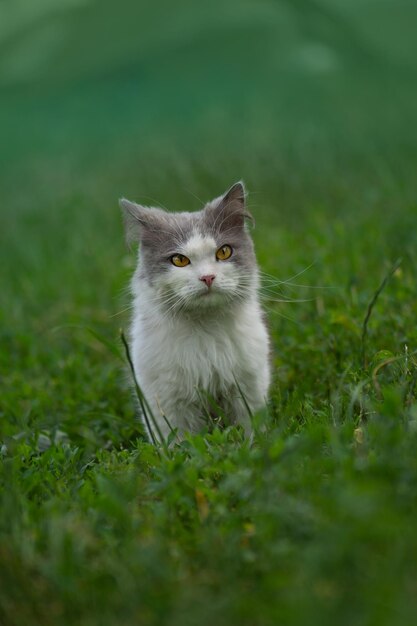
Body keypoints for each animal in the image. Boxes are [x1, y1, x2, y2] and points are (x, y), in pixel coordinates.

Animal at [118, 180, 272, 442]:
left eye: (223, 252)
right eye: (179, 260)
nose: (207, 277)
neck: (205, 329)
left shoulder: (247, 386)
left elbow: (249, 428)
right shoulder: (168, 402)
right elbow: (179, 441)